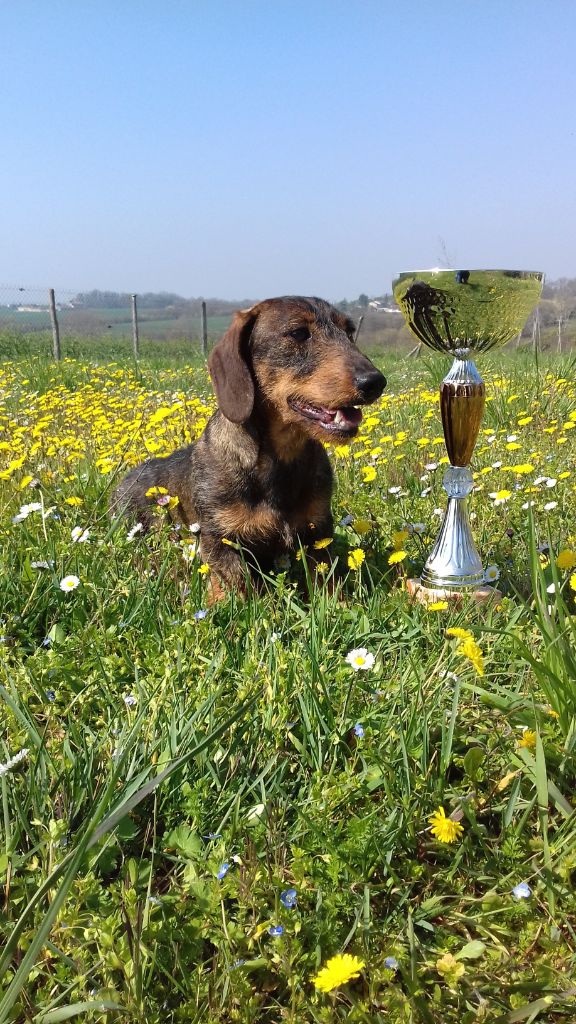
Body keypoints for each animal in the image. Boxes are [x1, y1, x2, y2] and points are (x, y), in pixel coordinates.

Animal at [109, 296, 383, 598]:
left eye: (349, 332)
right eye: (299, 333)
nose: (375, 382)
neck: (280, 460)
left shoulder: (318, 531)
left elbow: (327, 582)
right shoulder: (219, 539)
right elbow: (237, 587)